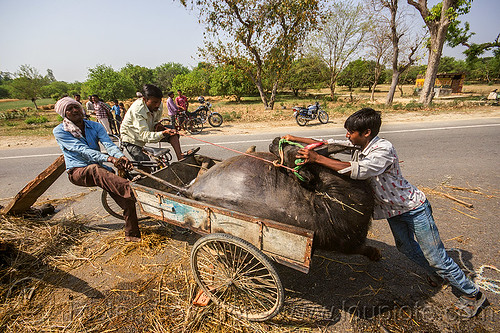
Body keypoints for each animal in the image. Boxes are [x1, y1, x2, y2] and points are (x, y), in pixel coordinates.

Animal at [186, 139, 380, 260]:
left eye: (296, 154)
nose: (276, 140)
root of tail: (192, 189)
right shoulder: (348, 242)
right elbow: (365, 249)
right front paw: (375, 254)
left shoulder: (348, 242)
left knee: (201, 172)